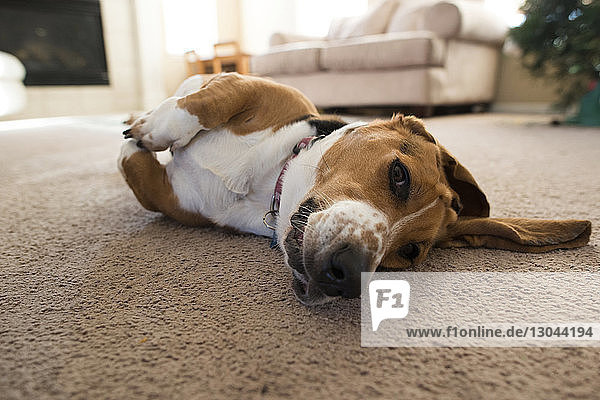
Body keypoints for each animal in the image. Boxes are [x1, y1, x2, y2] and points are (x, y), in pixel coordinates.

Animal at [117, 72, 592, 304]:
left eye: (409, 253)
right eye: (399, 175)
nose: (345, 275)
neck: (268, 180)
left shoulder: (167, 194)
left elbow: (132, 162)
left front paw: (141, 134)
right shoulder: (259, 87)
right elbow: (204, 103)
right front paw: (152, 127)